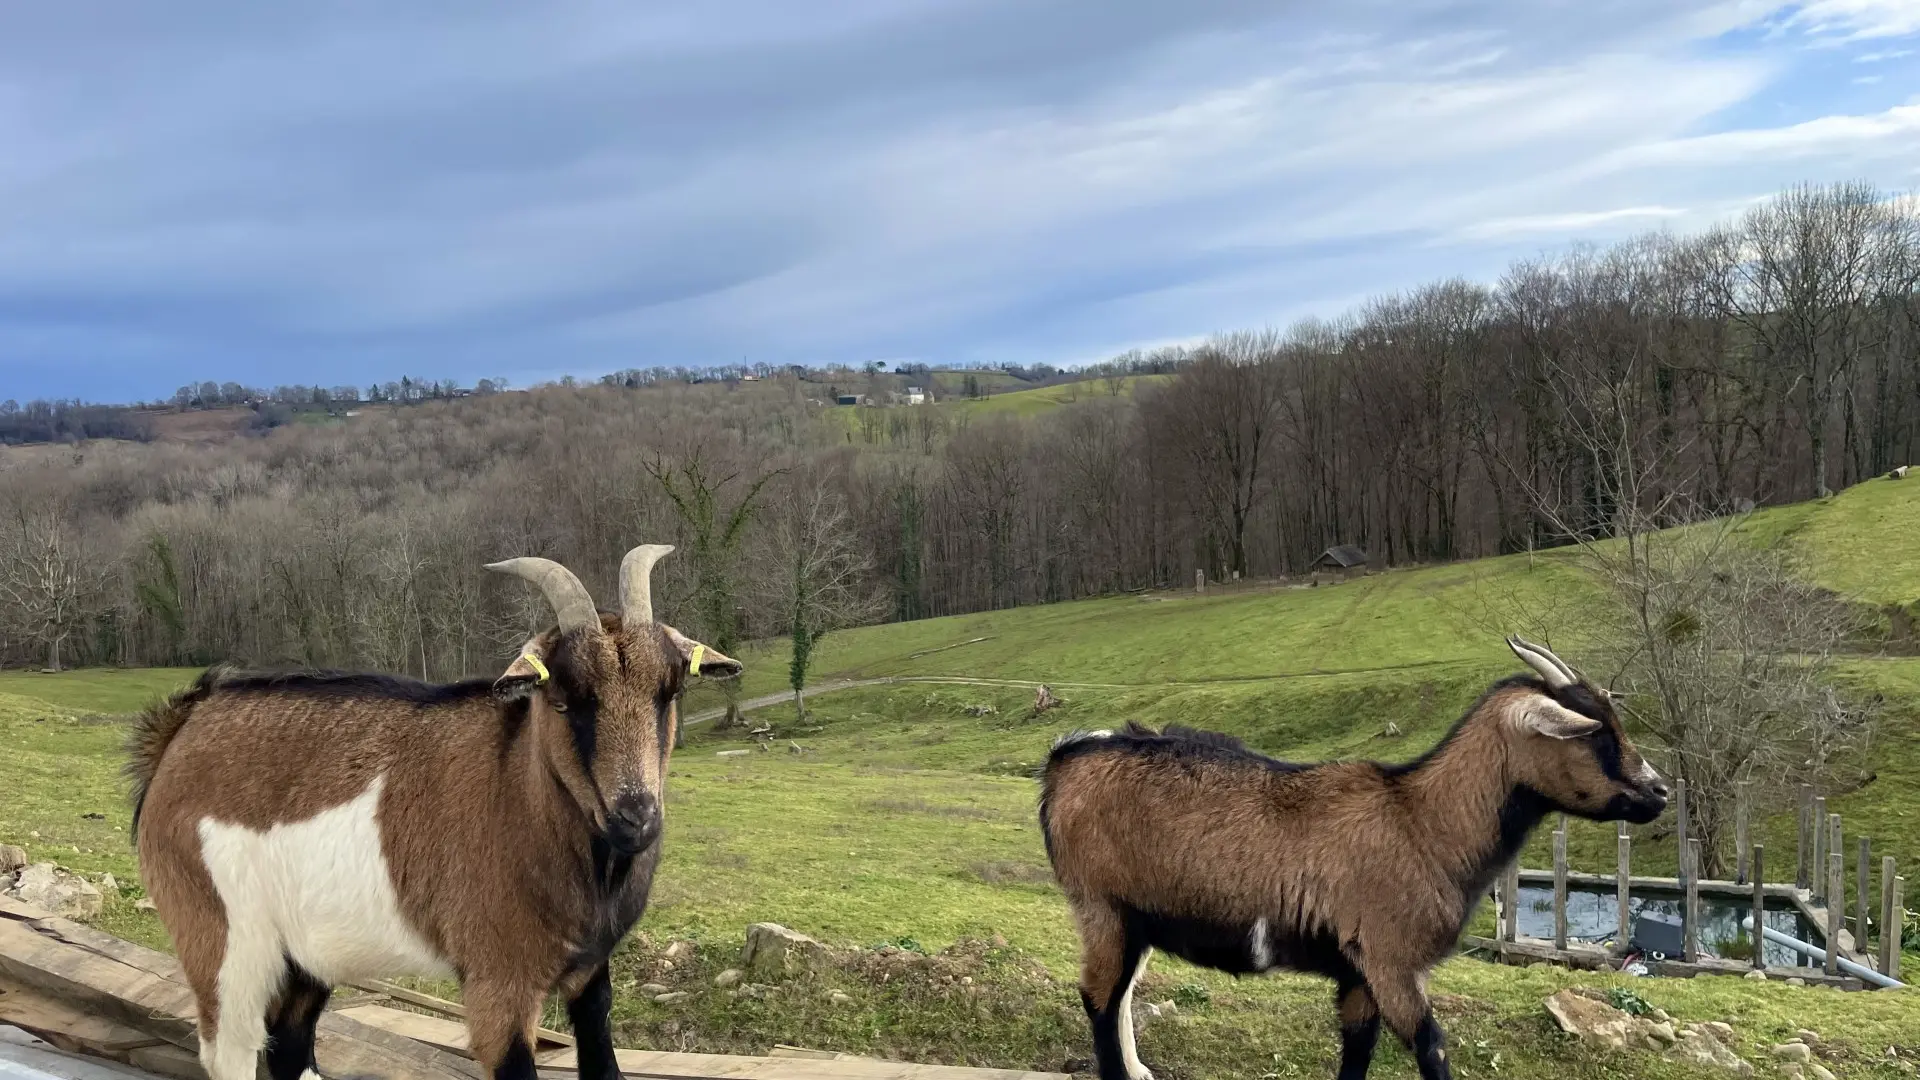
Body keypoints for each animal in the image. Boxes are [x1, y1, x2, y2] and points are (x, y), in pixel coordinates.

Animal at [120, 545, 733, 1076]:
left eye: (670, 691)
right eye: (562, 699)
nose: (637, 817)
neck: (521, 793)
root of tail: (179, 731)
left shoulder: (589, 972)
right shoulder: (498, 982)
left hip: (306, 954)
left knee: (290, 1043)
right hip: (224, 940)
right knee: (232, 1049)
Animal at [1036, 634, 1666, 1076]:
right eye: (1597, 734)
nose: (1658, 791)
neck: (1421, 822)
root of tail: (1067, 761)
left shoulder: (1360, 974)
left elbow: (1358, 1053)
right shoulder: (1389, 960)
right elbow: (1432, 1049)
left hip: (1139, 920)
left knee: (1120, 999)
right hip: (1102, 906)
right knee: (1099, 999)